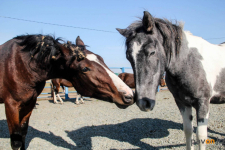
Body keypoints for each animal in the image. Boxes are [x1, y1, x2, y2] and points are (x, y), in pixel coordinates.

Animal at [0, 34, 134, 149]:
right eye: (85, 68)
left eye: (101, 59)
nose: (129, 95)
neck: (22, 65)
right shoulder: (11, 105)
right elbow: (16, 142)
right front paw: (79, 102)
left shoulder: (29, 103)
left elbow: (23, 135)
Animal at [117, 10, 224, 149]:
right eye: (128, 57)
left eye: (152, 52)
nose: (143, 103)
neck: (189, 62)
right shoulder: (182, 102)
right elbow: (188, 131)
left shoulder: (203, 102)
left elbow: (201, 136)